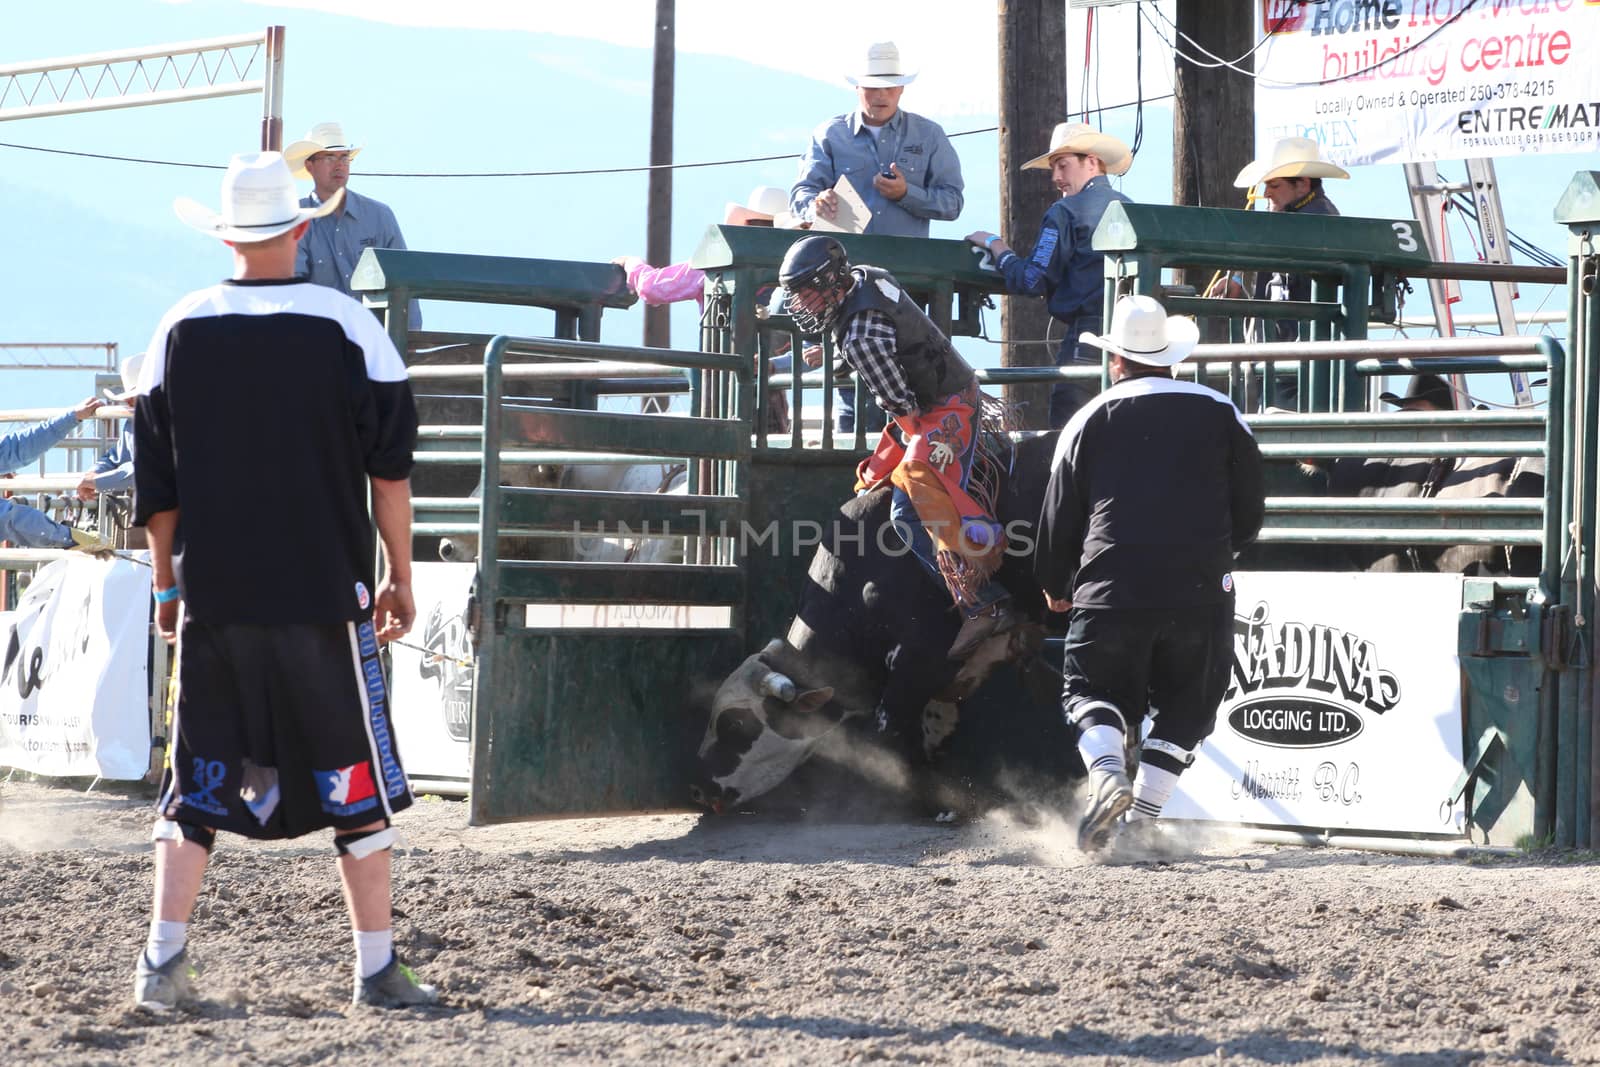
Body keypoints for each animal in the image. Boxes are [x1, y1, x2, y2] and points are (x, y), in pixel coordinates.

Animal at [691, 428, 1075, 812]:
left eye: (735, 726)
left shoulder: (918, 662)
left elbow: (892, 731)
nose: (698, 788)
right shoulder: (966, 669)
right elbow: (936, 729)